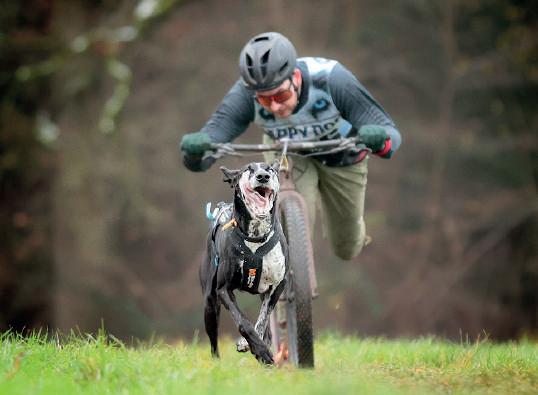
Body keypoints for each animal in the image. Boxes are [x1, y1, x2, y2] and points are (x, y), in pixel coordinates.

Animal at [198, 162, 288, 366]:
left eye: (270, 169)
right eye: (249, 169)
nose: (263, 176)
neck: (256, 236)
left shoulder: (277, 286)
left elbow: (262, 321)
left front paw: (255, 345)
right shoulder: (223, 289)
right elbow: (243, 322)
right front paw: (260, 350)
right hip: (210, 303)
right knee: (213, 341)